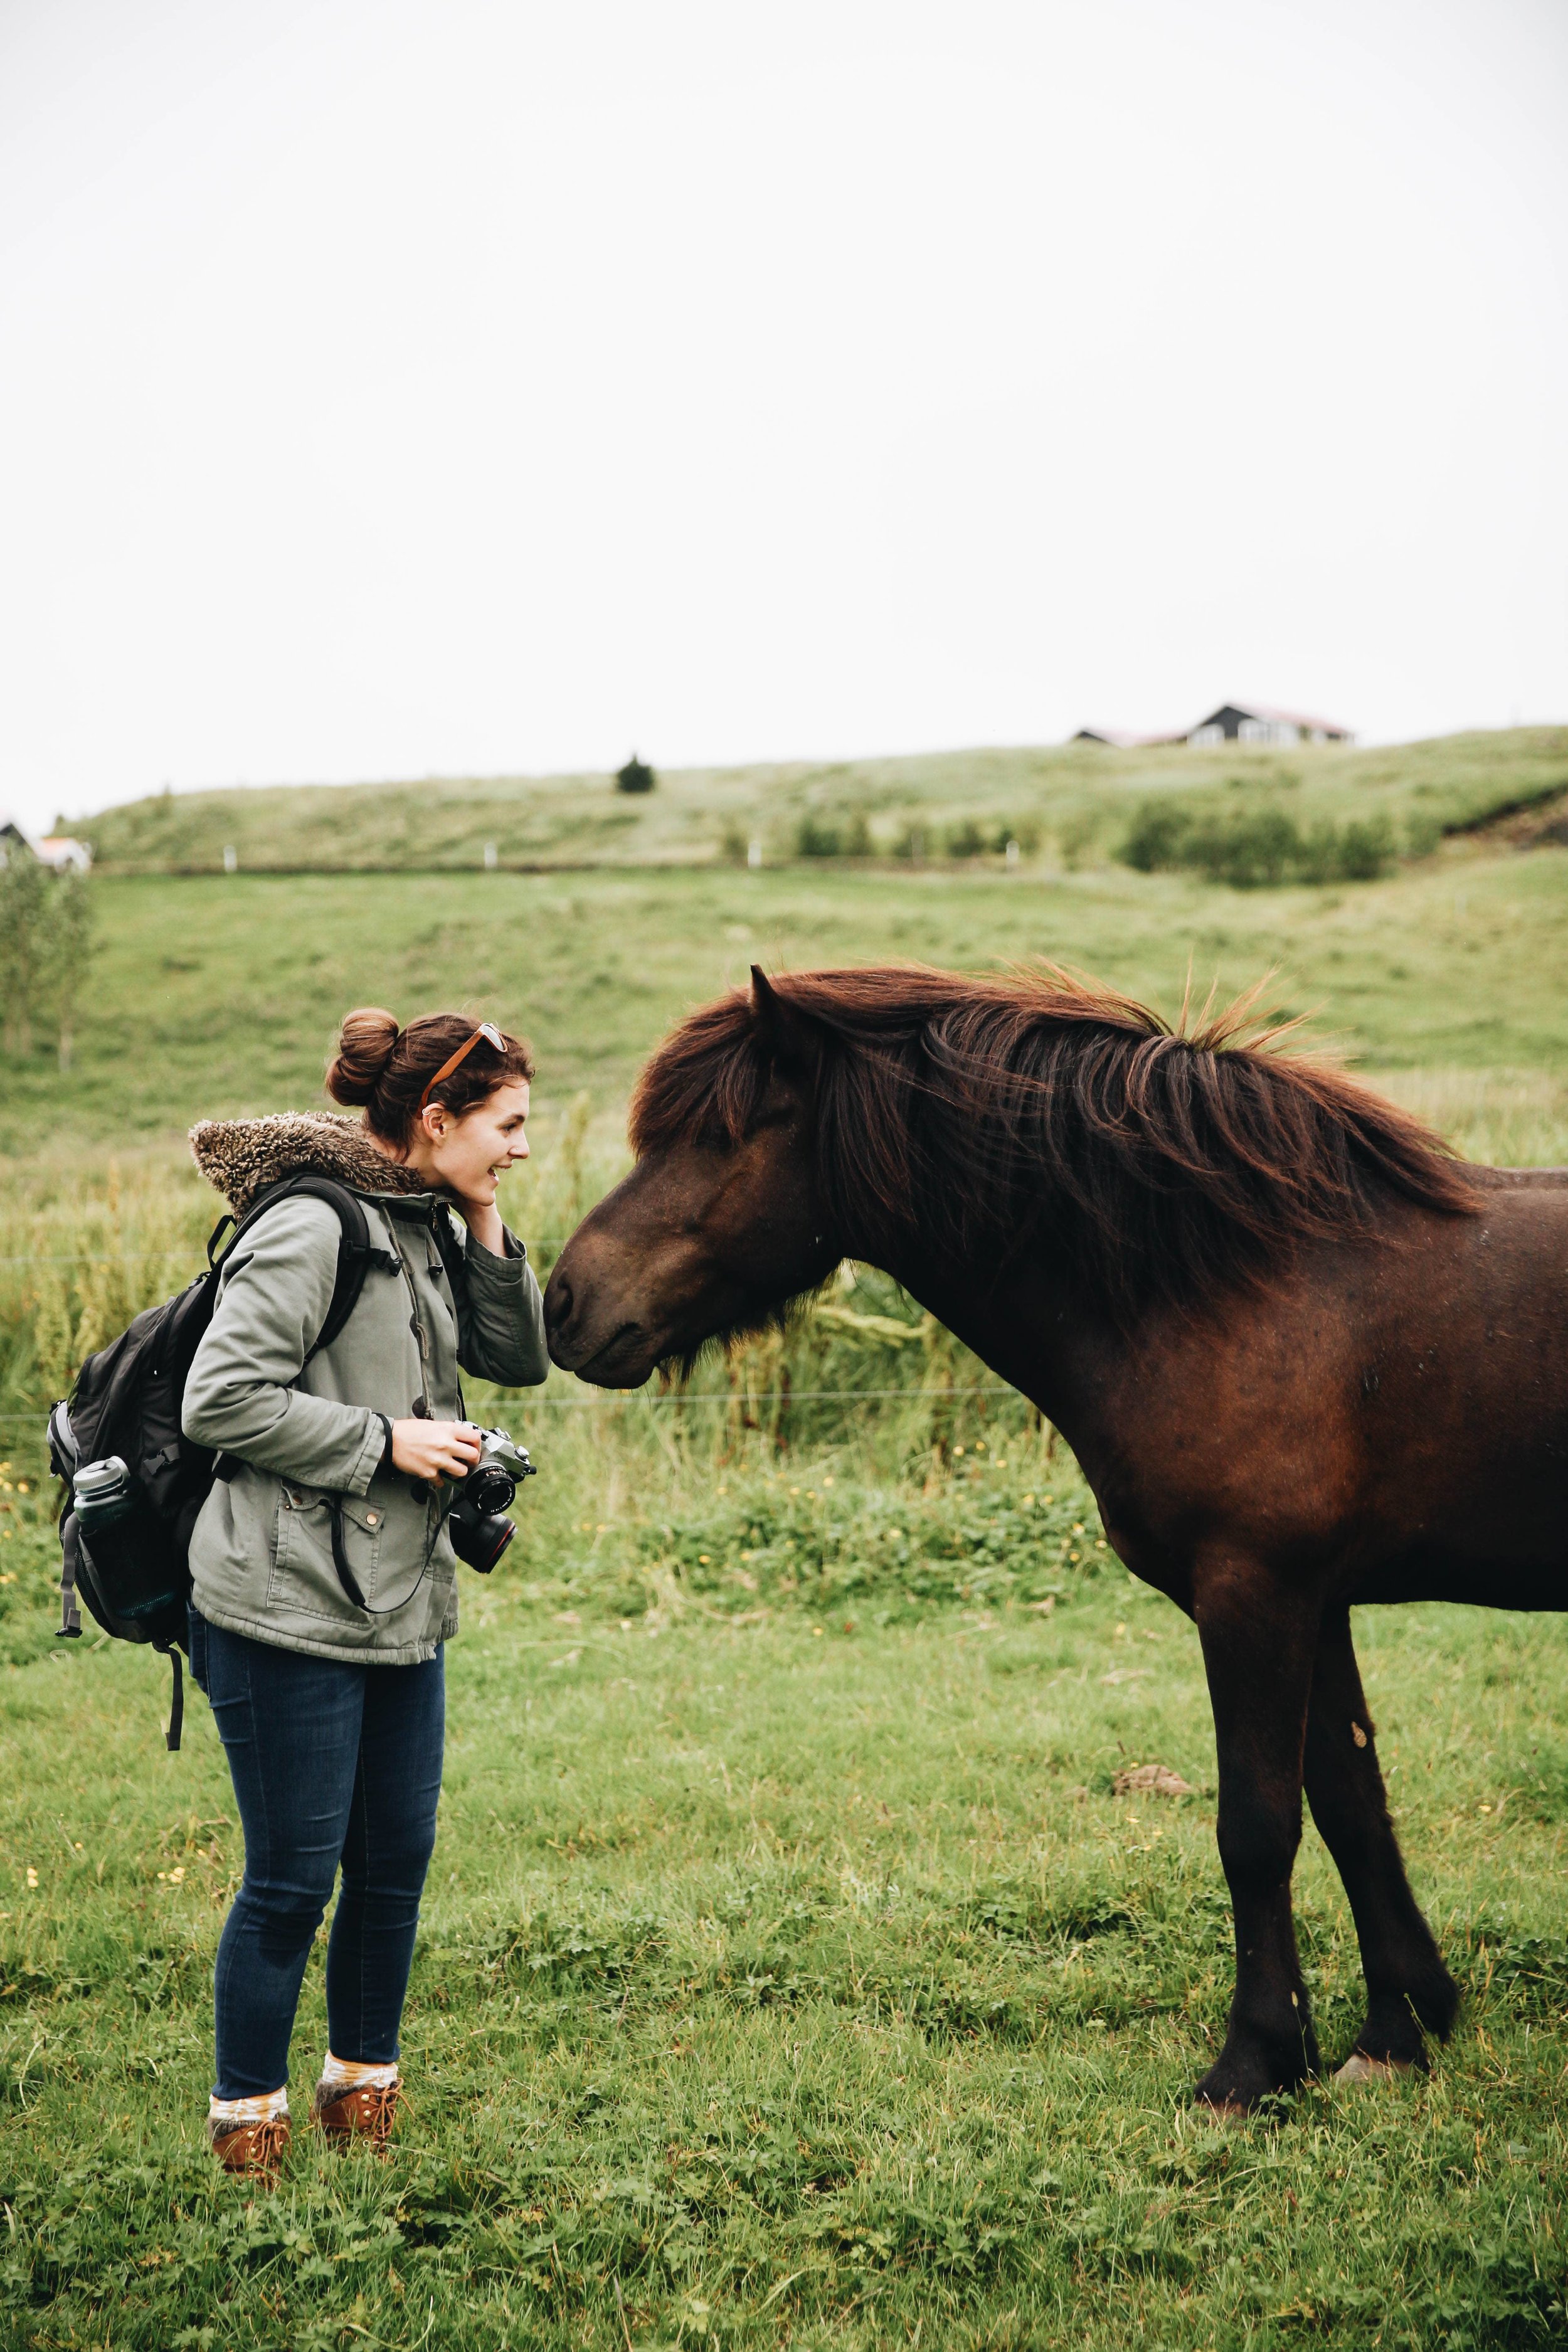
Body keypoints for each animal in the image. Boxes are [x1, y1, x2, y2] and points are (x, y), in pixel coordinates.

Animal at [550, 964, 1568, 2107]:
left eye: (720, 1137)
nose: (565, 1300)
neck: (1238, 1284)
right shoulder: (1320, 1597)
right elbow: (1352, 1803)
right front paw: (1394, 2032)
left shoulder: (1255, 1591)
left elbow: (1257, 1828)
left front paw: (1253, 2062)